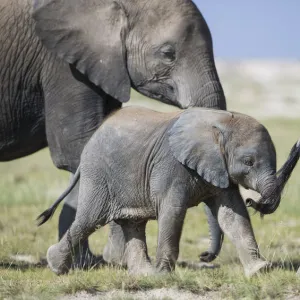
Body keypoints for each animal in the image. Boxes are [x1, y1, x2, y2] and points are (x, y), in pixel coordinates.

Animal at [0, 0, 225, 268]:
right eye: (168, 53)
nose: (204, 256)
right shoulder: (62, 66)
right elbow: (77, 150)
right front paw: (107, 261)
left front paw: (102, 261)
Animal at [39, 106, 298, 278]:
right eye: (249, 162)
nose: (255, 201)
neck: (220, 120)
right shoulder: (170, 166)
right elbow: (172, 212)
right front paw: (165, 276)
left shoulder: (220, 169)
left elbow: (233, 216)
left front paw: (260, 270)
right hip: (99, 176)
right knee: (89, 220)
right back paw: (56, 266)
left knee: (132, 223)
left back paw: (144, 275)